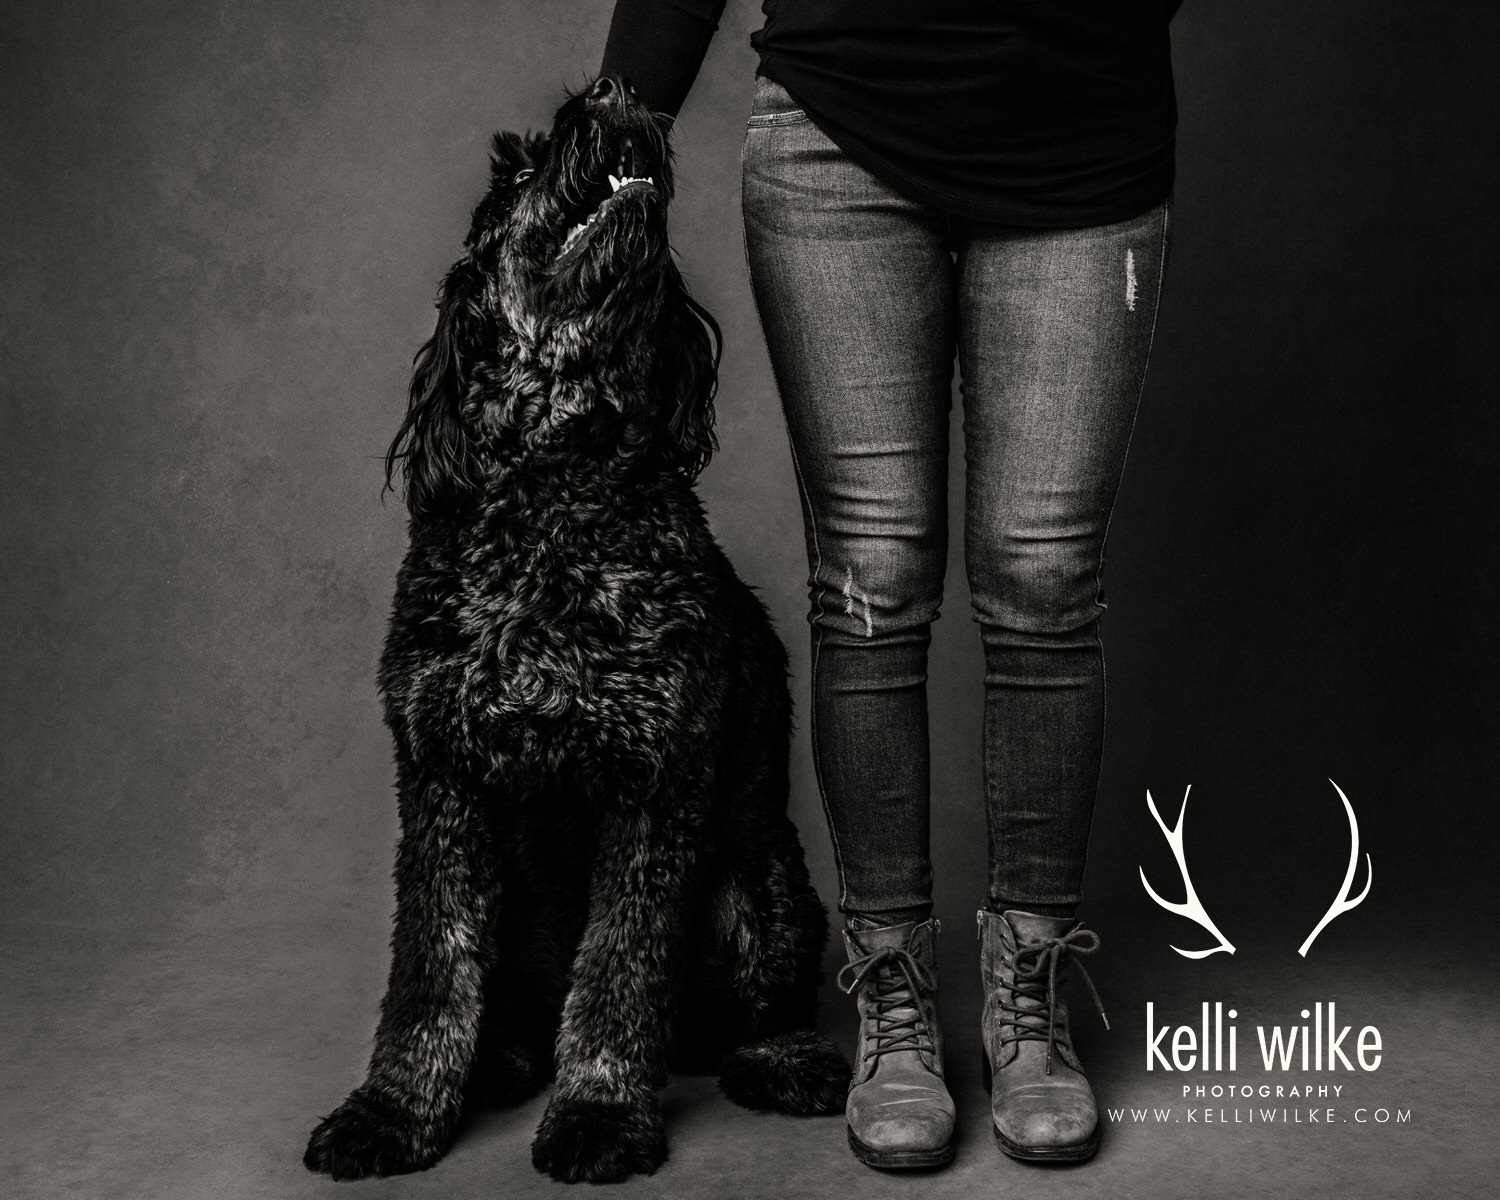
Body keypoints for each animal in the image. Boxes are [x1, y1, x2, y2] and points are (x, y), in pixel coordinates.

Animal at [301, 79, 858, 1188]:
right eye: (515, 171)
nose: (610, 92)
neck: (551, 493)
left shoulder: (656, 780)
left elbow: (618, 971)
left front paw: (599, 1114)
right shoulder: (440, 781)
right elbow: (430, 972)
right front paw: (394, 1112)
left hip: (758, 886)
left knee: (749, 1011)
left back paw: (783, 1062)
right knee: (511, 1003)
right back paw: (502, 1063)